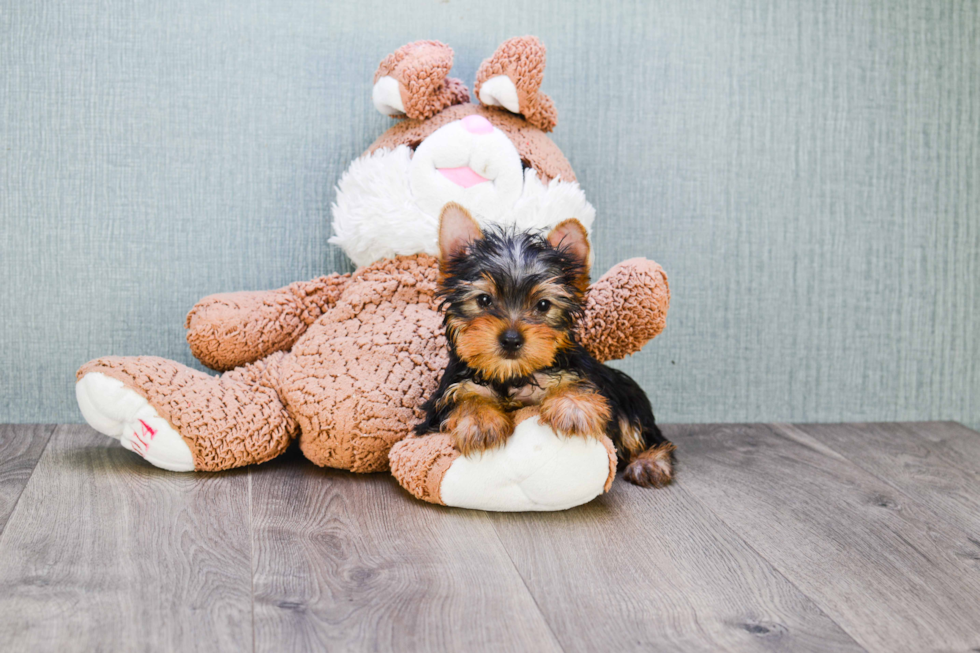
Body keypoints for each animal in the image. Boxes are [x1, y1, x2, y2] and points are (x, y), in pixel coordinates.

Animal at [414, 202, 672, 484]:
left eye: (543, 305)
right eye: (483, 300)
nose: (511, 339)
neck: (512, 375)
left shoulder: (579, 373)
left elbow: (574, 383)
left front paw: (573, 407)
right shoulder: (445, 397)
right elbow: (465, 397)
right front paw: (480, 420)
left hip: (628, 395)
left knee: (640, 429)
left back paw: (650, 461)